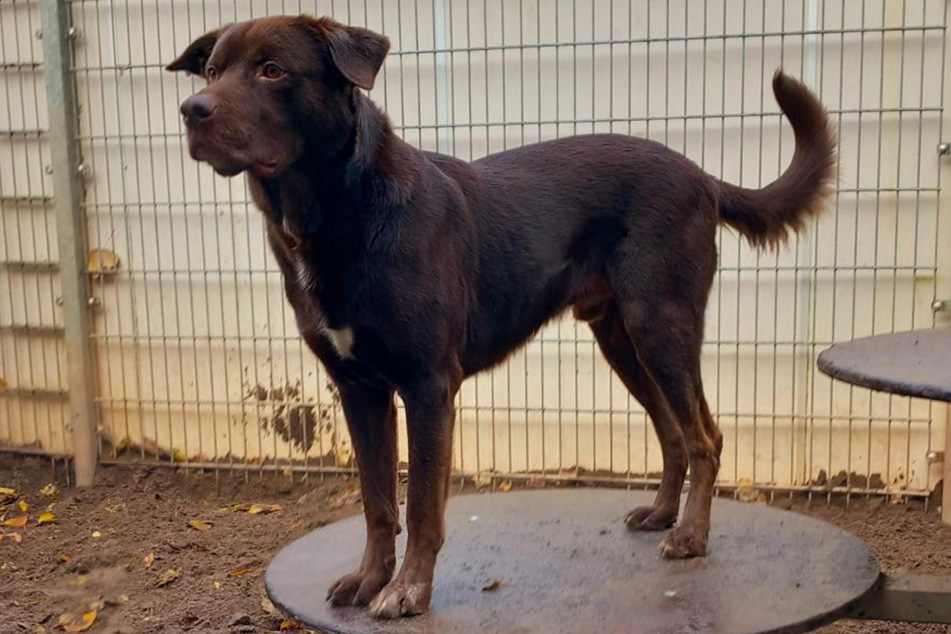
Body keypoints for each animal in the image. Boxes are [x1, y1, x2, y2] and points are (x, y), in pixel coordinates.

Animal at [167, 14, 836, 616]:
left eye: (272, 70)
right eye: (212, 71)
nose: (191, 110)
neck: (337, 211)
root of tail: (702, 175)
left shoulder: (429, 386)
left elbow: (422, 507)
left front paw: (408, 592)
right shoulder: (358, 389)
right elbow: (377, 503)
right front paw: (370, 580)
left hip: (661, 327)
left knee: (705, 437)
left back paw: (691, 536)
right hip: (621, 339)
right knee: (672, 431)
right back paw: (661, 515)